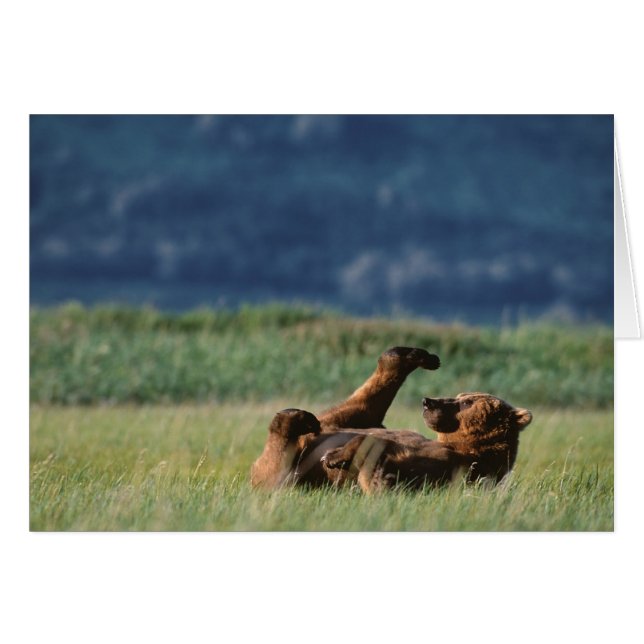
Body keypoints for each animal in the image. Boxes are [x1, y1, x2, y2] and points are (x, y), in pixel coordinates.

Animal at [321, 392, 533, 492]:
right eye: (460, 396)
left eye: (467, 402)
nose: (427, 401)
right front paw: (332, 454)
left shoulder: (452, 466)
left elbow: (380, 477)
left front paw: (332, 457)